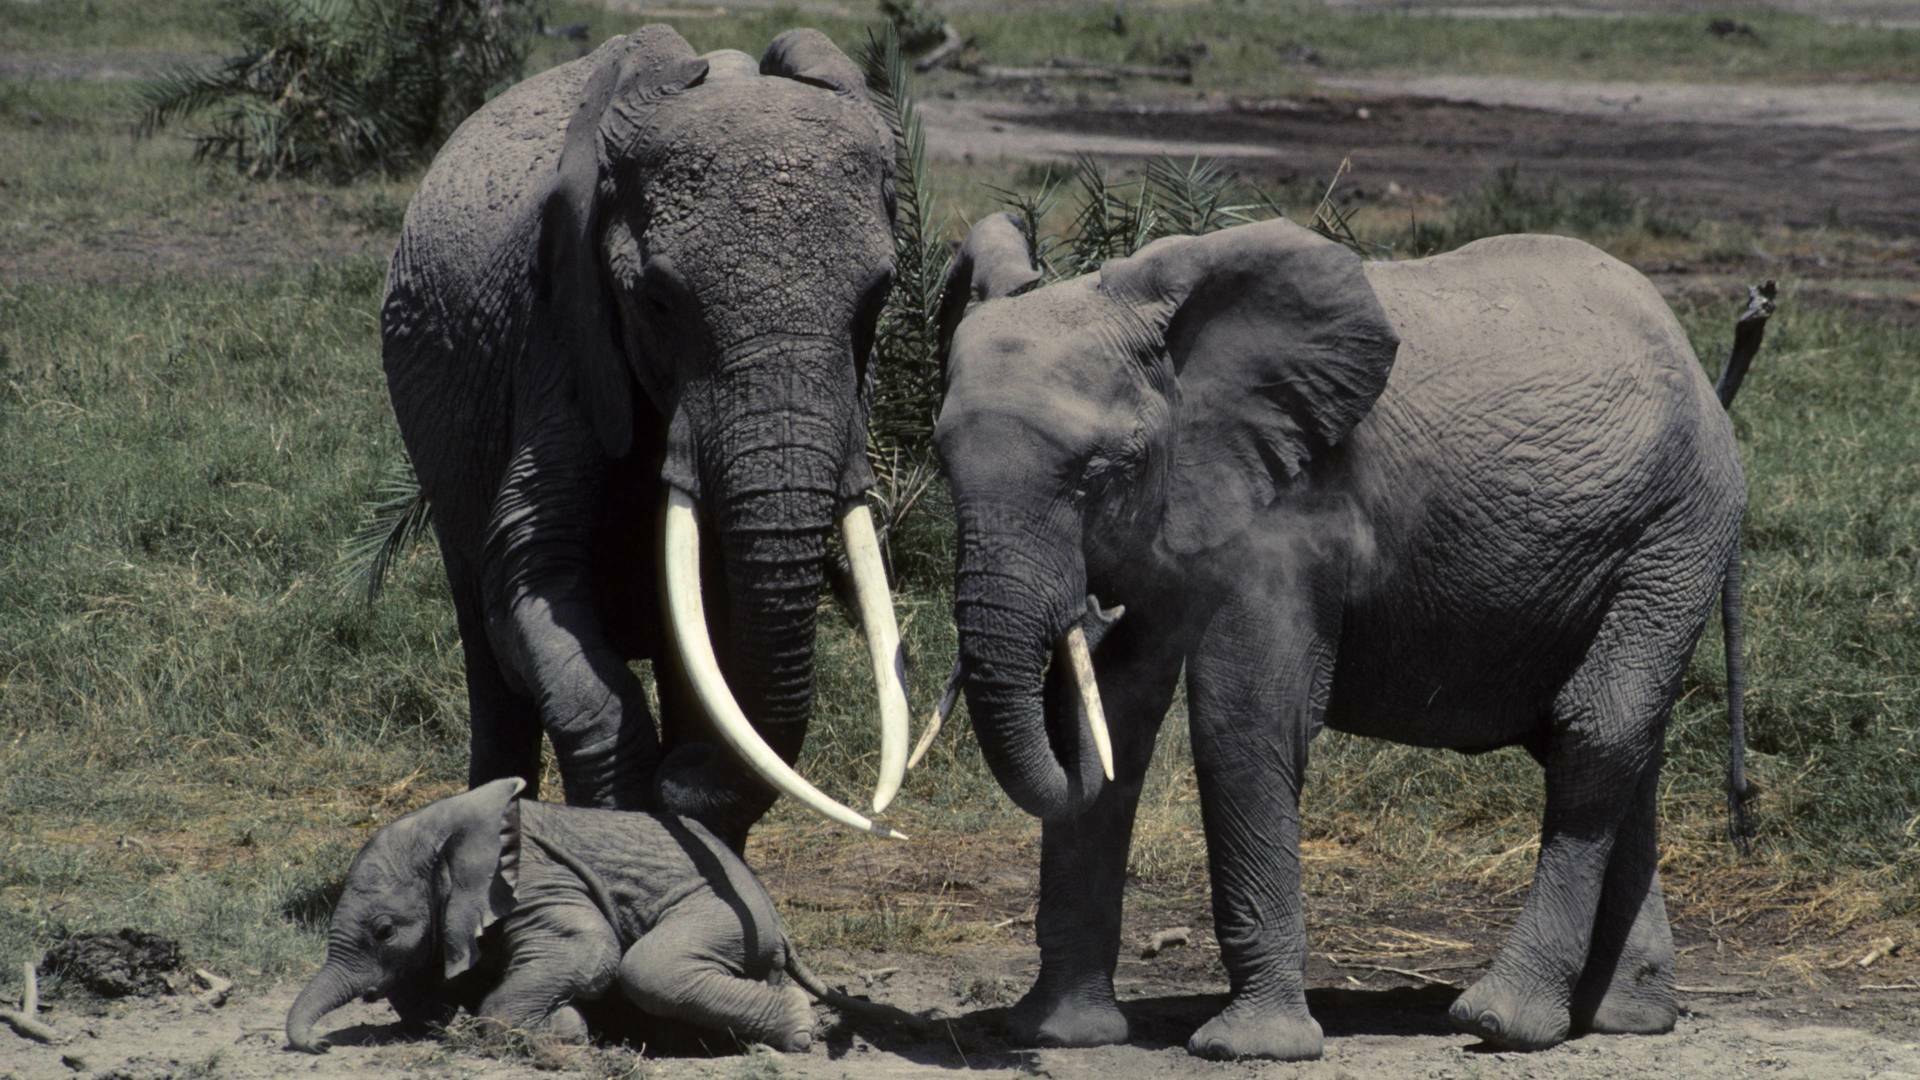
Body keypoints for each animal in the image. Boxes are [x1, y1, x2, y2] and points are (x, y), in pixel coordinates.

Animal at [286, 778, 866, 1053]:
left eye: (384, 931)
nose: (318, 1045)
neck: (449, 824)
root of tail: (781, 926)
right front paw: (565, 1024)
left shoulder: (535, 880)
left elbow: (588, 952)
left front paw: (563, 1028)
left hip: (721, 915)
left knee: (651, 970)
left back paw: (796, 1033)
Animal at [380, 24, 912, 847]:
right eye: (658, 303)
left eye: (878, 297)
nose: (679, 777)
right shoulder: (561, 338)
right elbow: (530, 571)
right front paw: (635, 813)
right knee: (484, 640)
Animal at [928, 214, 1762, 1059]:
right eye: (941, 461)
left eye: (1101, 470)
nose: (1092, 610)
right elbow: (1117, 717)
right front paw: (1063, 1035)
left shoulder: (1290, 512)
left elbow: (1243, 719)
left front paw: (1250, 1048)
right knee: (1621, 748)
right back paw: (1626, 1018)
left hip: (1677, 529)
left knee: (1597, 732)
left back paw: (1501, 1021)